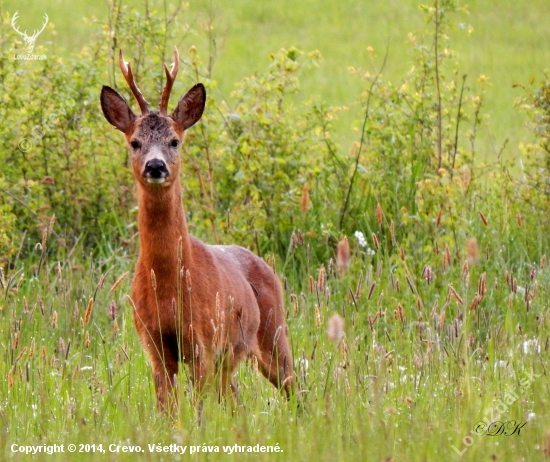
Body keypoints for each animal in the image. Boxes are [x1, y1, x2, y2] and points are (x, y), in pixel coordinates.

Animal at [101, 48, 296, 414]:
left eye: (175, 140)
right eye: (134, 142)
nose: (156, 166)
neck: (168, 286)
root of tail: (265, 265)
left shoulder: (201, 340)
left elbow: (199, 410)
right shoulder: (154, 341)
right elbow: (167, 409)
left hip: (274, 331)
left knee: (296, 386)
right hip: (231, 356)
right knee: (234, 397)